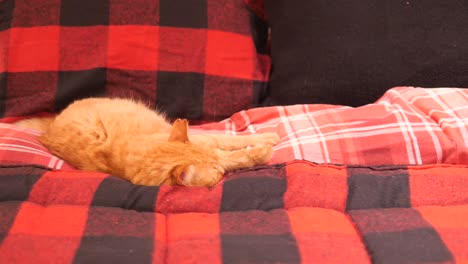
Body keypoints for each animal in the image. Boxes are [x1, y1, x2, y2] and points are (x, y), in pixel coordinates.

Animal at [14, 98, 280, 187]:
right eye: (216, 172)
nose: (221, 172)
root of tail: (52, 124)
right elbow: (234, 156)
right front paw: (262, 152)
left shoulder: (208, 139)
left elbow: (229, 140)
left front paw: (266, 138)